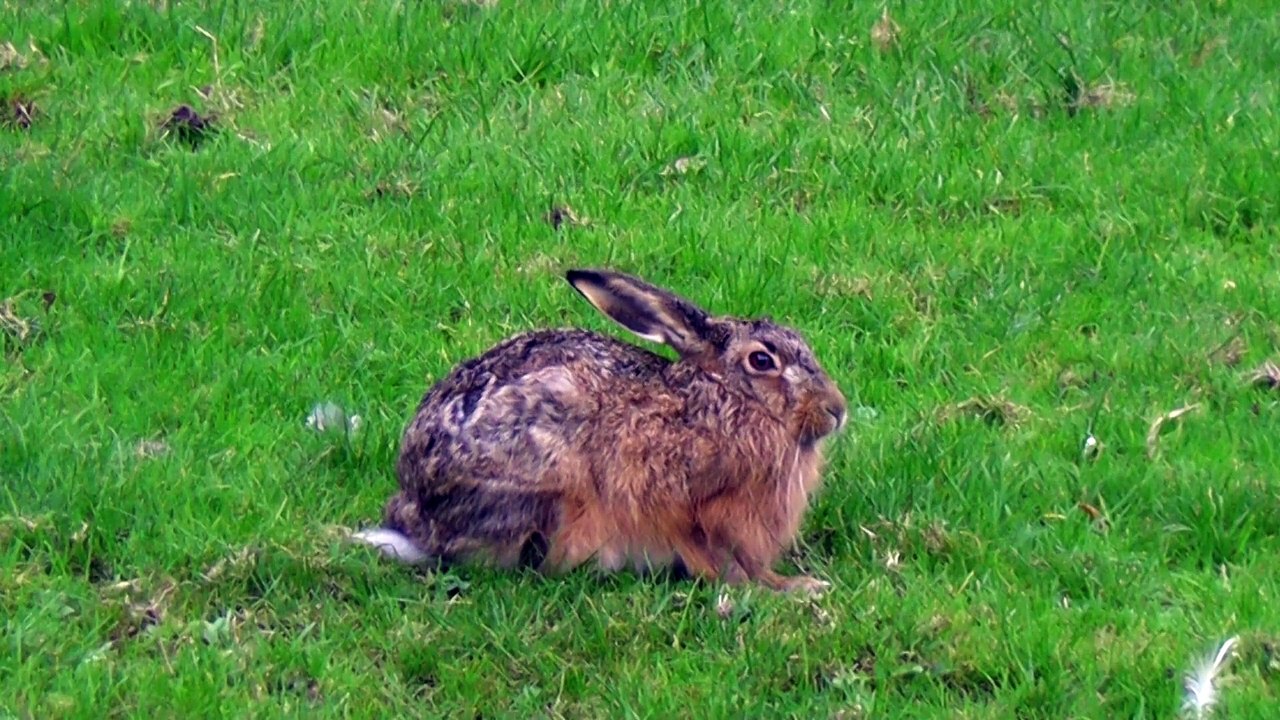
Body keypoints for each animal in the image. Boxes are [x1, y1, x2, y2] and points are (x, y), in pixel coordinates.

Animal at [353, 268, 848, 593]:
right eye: (762, 360)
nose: (837, 410)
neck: (729, 396)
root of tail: (419, 517)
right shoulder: (698, 508)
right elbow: (728, 560)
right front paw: (796, 587)